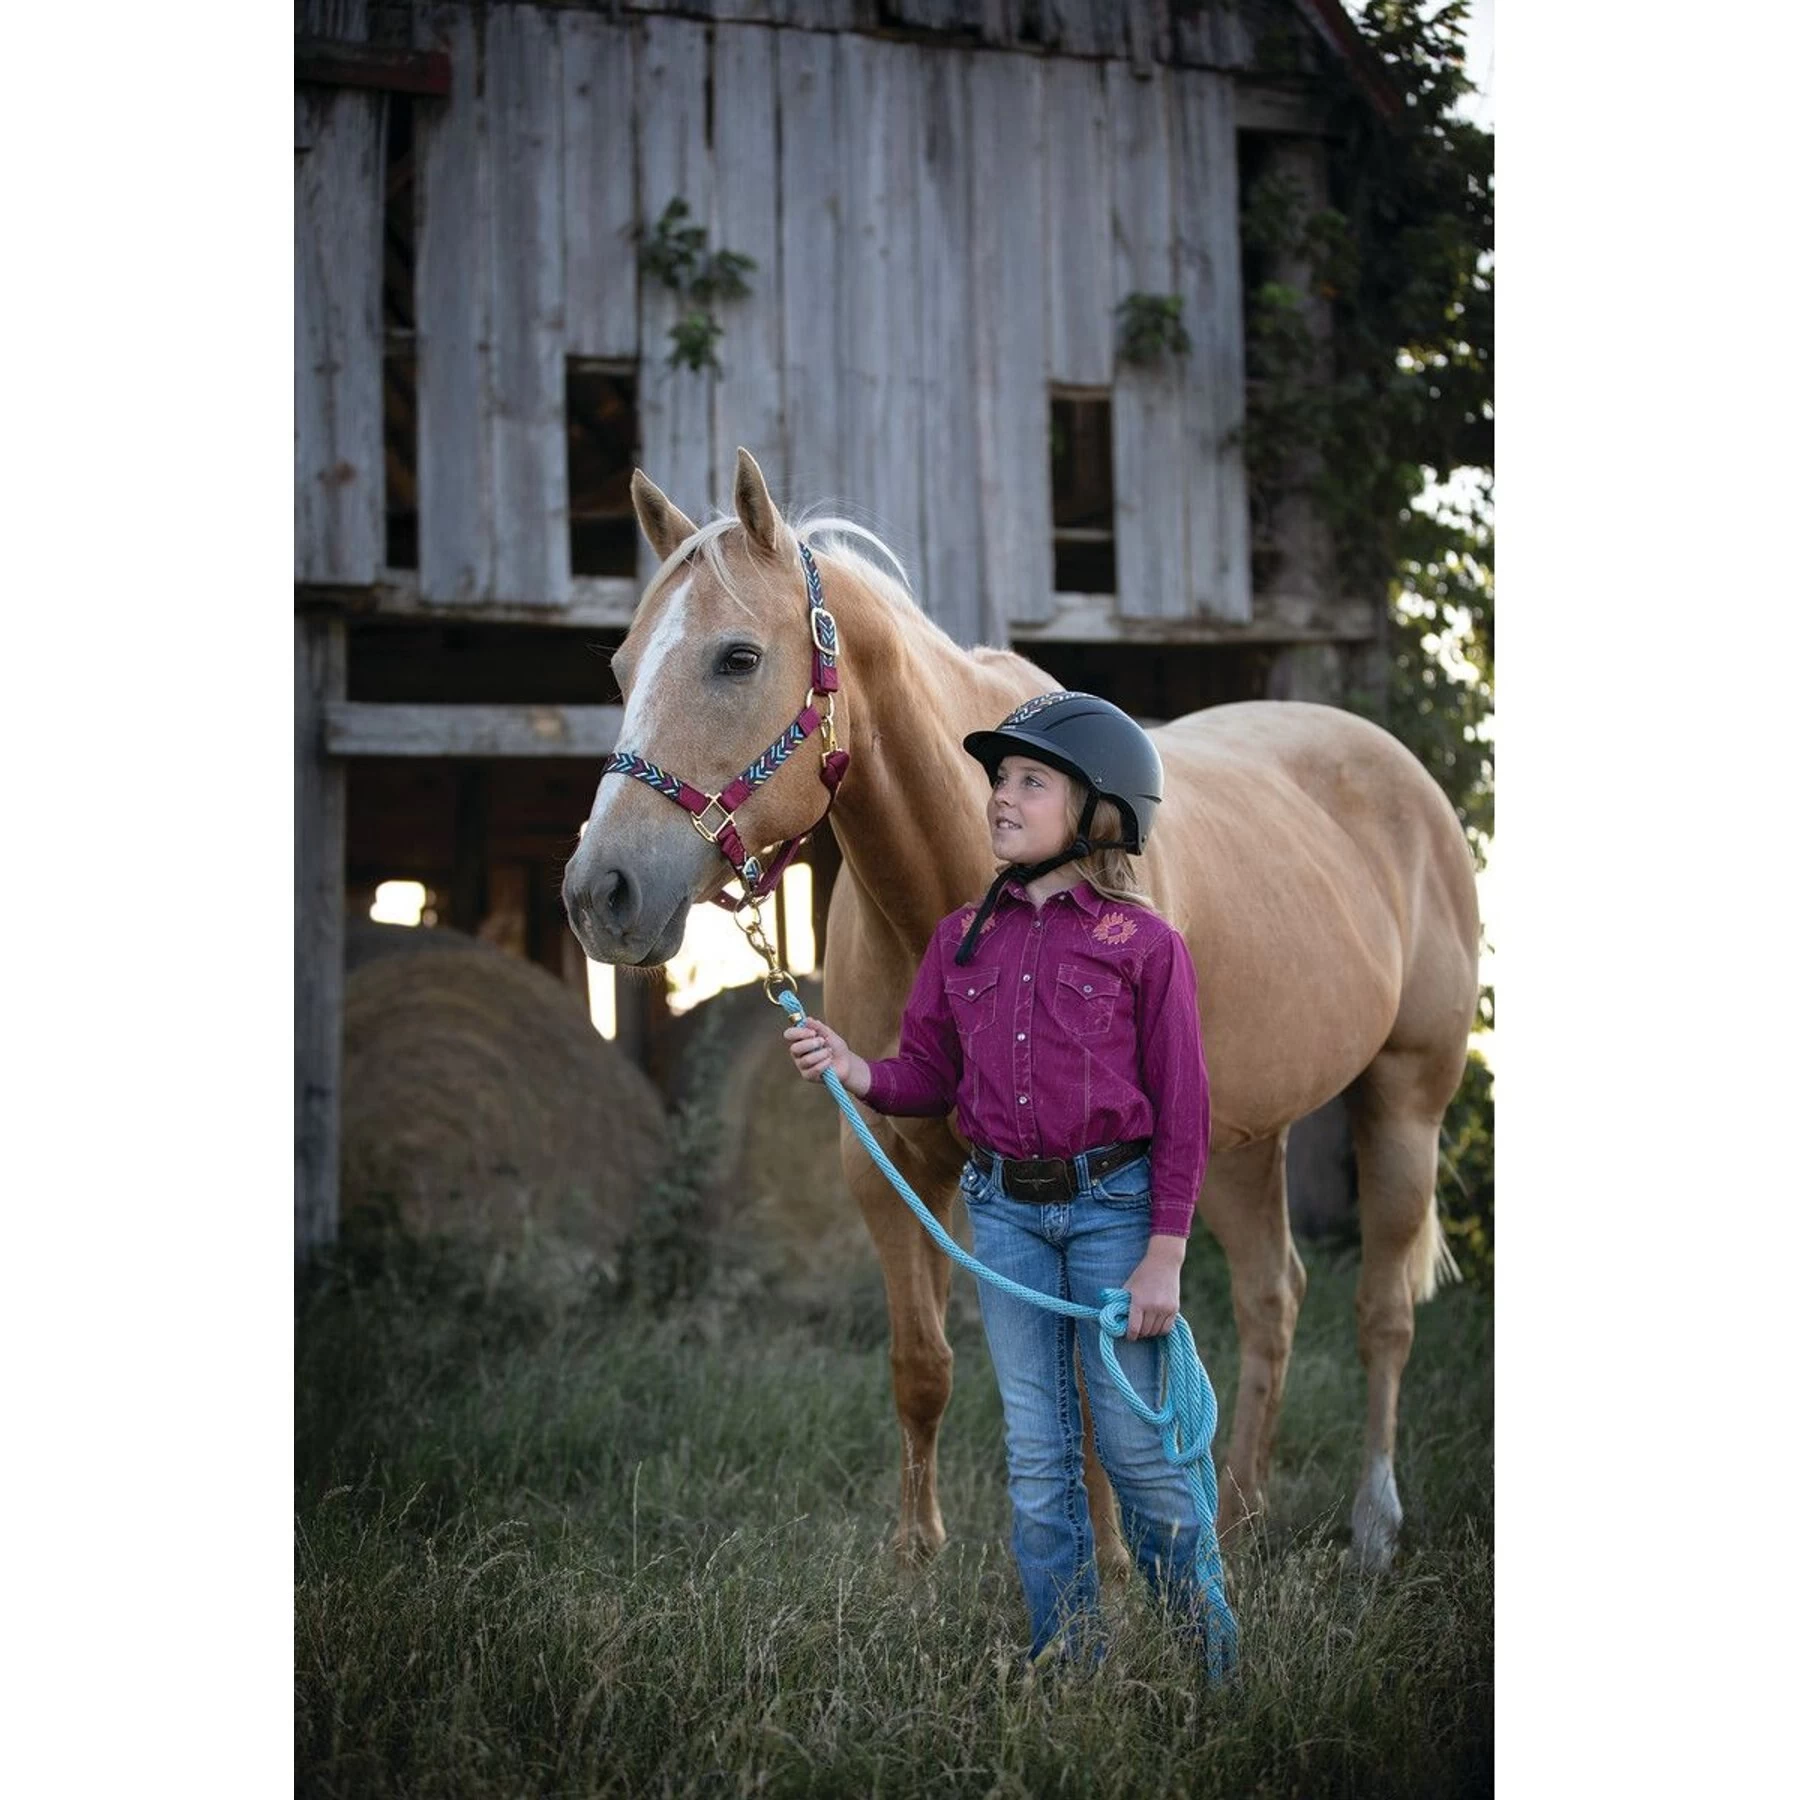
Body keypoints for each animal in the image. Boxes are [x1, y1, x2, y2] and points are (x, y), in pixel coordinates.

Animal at [562, 448, 1481, 1572]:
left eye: (736, 658)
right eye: (621, 668)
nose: (600, 893)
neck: (972, 883)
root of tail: (1401, 774)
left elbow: (1090, 1375)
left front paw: (1116, 1568)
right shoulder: (890, 1164)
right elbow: (925, 1365)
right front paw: (917, 1561)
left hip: (1405, 1099)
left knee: (1381, 1313)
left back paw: (1372, 1526)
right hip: (1236, 1139)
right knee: (1273, 1300)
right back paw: (1239, 1516)